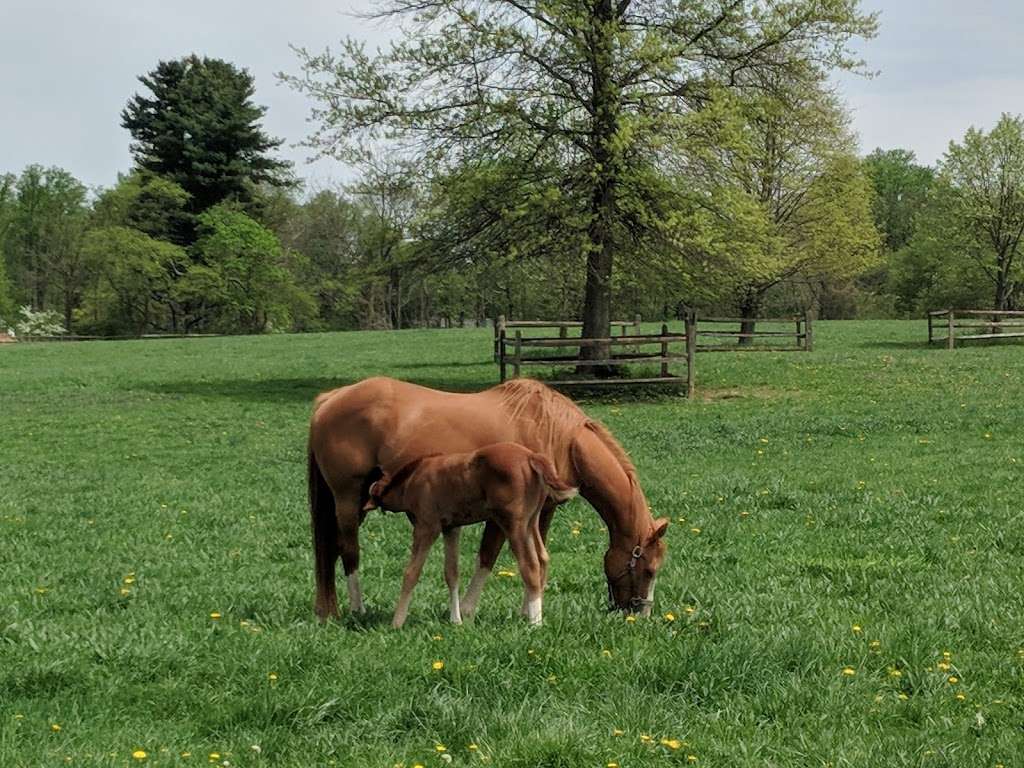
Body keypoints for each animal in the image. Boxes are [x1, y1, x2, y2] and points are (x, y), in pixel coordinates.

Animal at [364, 442, 581, 626]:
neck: (413, 479)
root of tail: (532, 457)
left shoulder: (427, 527)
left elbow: (412, 572)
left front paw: (397, 622)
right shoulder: (451, 528)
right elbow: (451, 572)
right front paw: (456, 620)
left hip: (514, 523)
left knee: (530, 565)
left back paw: (535, 623)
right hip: (531, 521)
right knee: (543, 558)